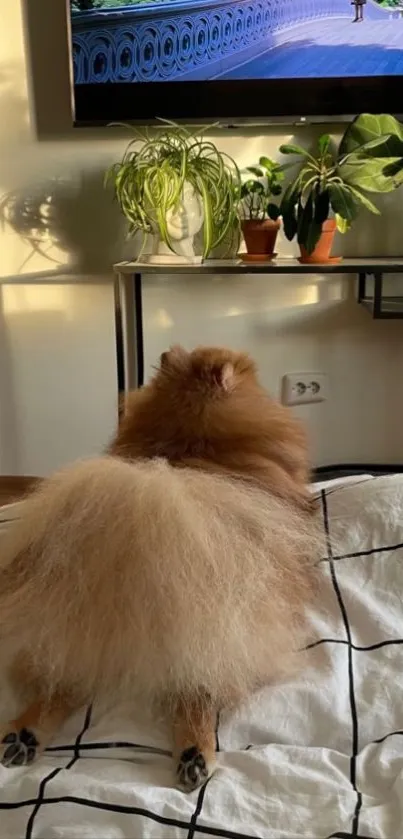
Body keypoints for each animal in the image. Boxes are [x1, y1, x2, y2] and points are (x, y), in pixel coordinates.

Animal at [0, 344, 322, 792]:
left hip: (66, 630)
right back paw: (195, 755)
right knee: (195, 695)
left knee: (62, 679)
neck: (188, 444)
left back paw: (24, 736)